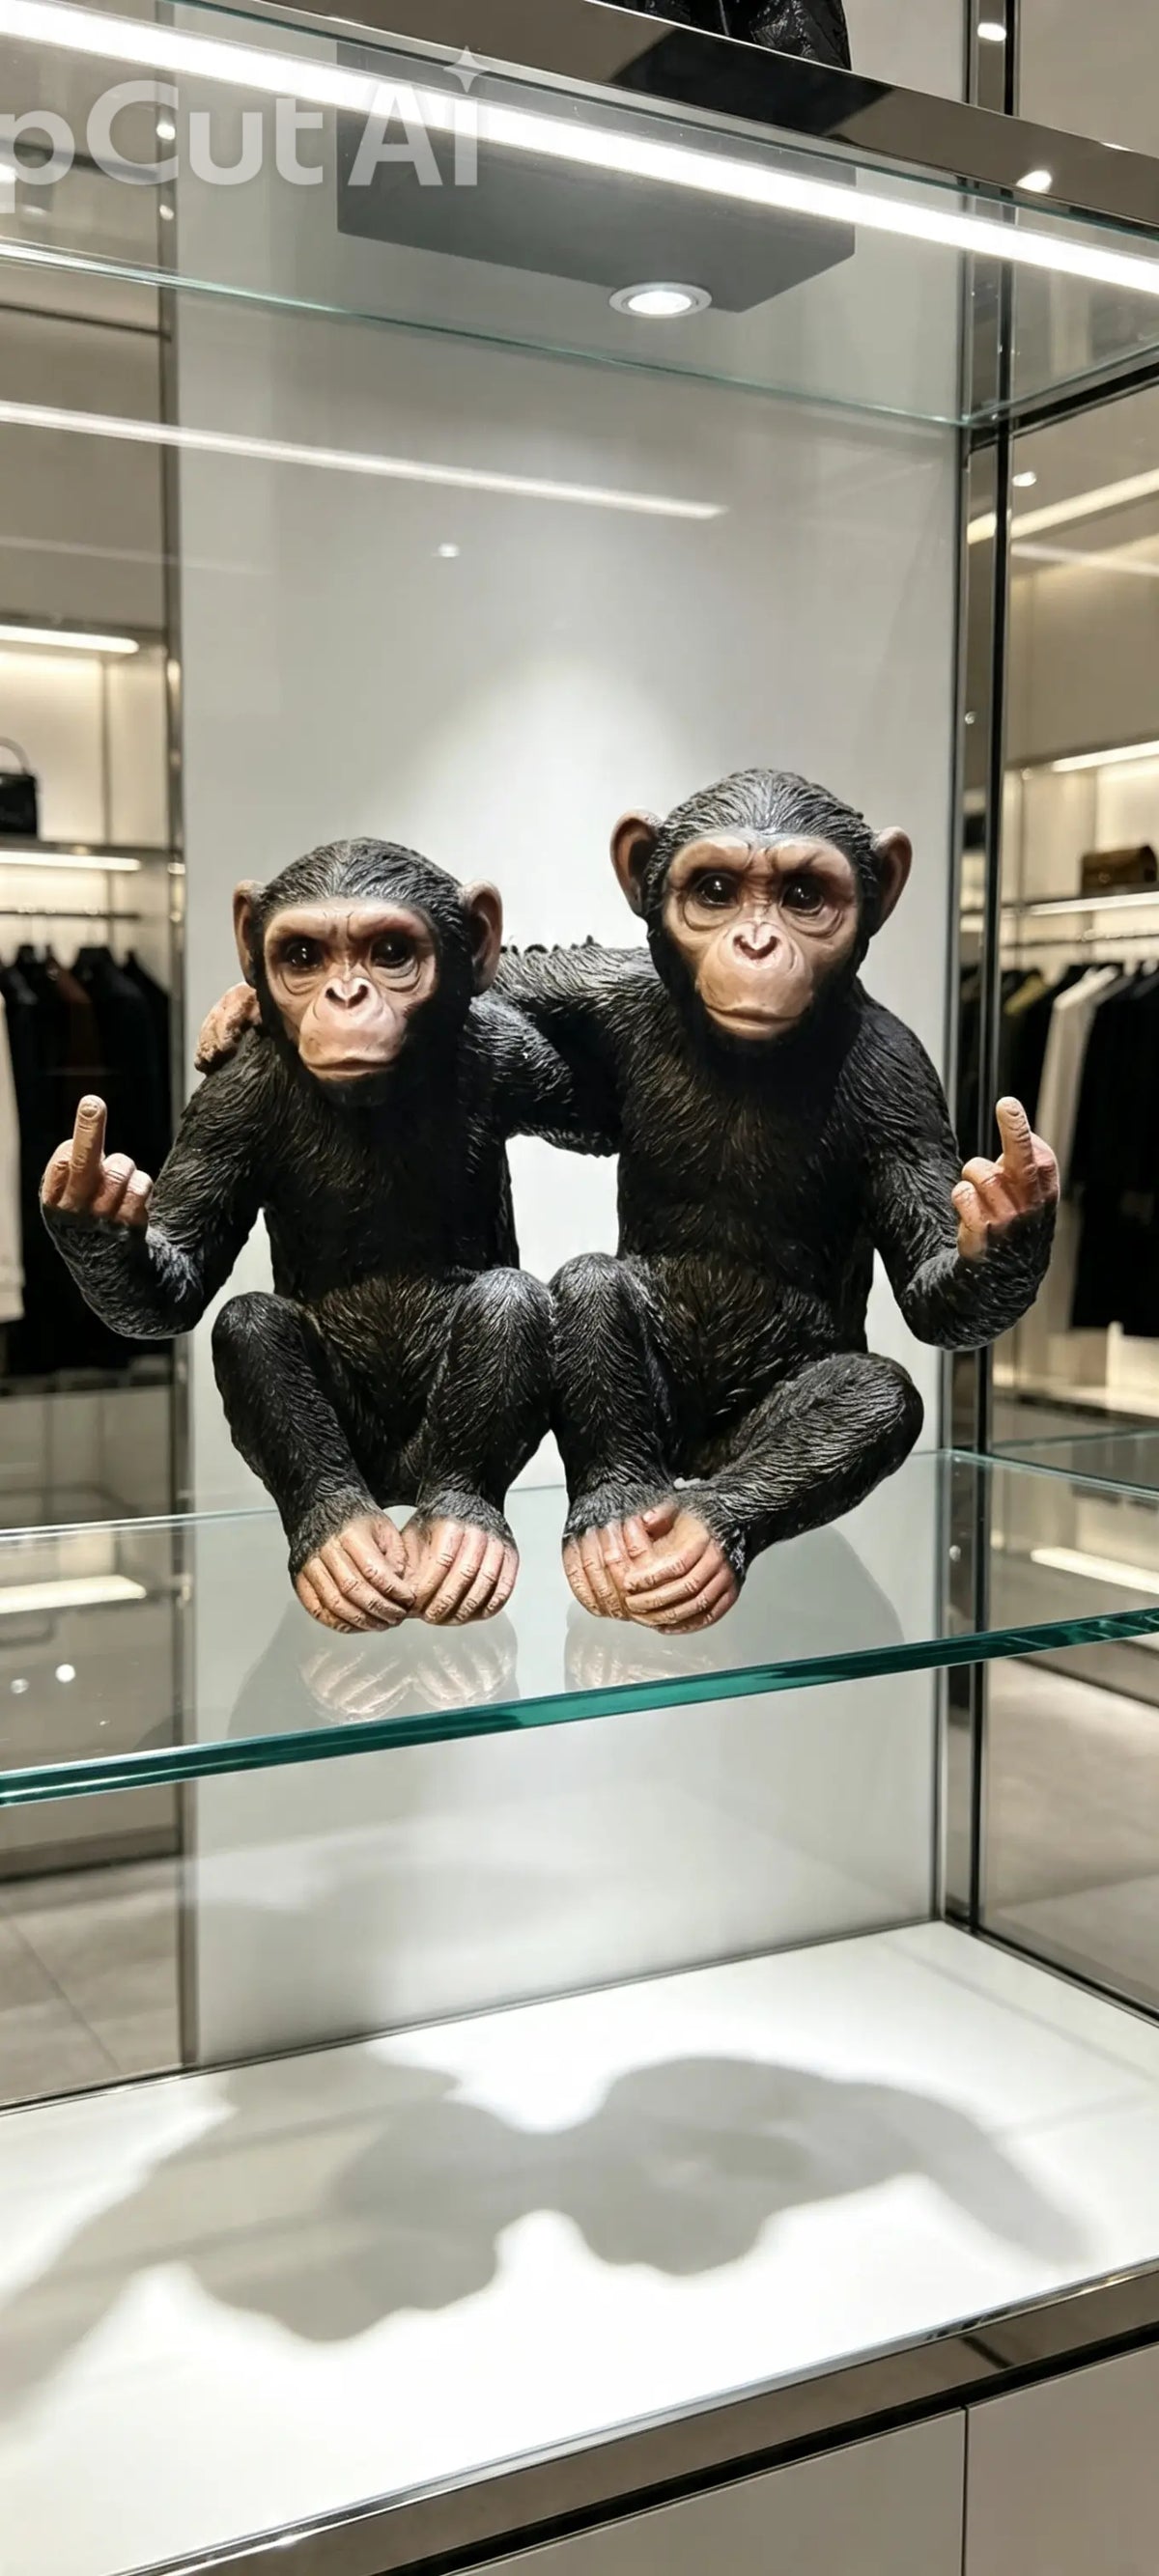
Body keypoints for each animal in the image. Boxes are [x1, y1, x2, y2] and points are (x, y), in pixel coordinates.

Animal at [41, 838, 613, 1634]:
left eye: (391, 952)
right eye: (304, 956)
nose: (345, 997)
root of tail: (397, 1492)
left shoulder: (513, 1056)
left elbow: (603, 1105)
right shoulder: (231, 1101)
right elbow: (183, 1277)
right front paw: (95, 1206)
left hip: (425, 1457)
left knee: (508, 1299)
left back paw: (460, 1529)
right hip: (362, 1457)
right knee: (250, 1323)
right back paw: (341, 1541)